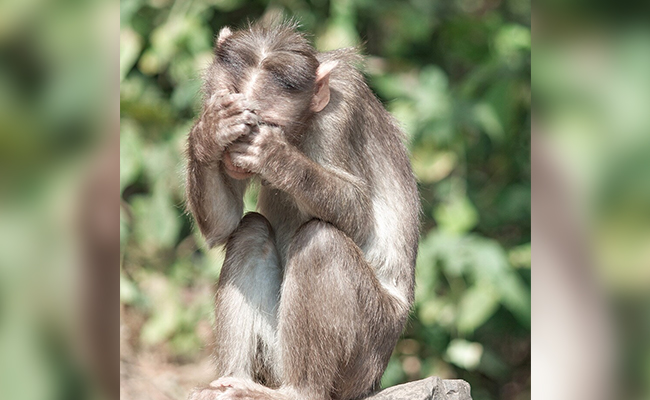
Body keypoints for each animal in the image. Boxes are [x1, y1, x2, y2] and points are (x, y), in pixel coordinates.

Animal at [185, 20, 420, 400]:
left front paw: (275, 156)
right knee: (251, 231)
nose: (235, 152)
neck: (304, 125)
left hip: (367, 352)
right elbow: (224, 225)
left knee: (322, 242)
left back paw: (298, 391)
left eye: (266, 123)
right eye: (236, 111)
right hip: (275, 356)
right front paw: (210, 132)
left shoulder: (341, 112)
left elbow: (359, 213)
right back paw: (230, 380)